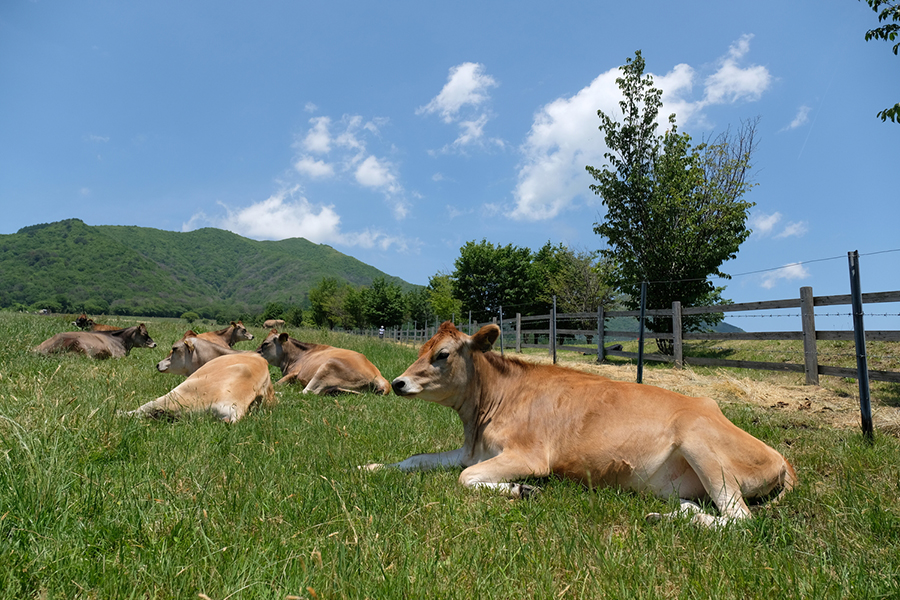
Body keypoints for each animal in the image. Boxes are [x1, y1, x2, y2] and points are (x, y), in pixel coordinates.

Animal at [256, 330, 390, 395]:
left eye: (265, 344)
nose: (254, 353)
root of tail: (380, 376)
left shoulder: (295, 373)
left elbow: (278, 383)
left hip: (327, 367)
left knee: (306, 392)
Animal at [363, 322, 797, 528]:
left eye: (442, 354)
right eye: (422, 347)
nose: (398, 382)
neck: (481, 414)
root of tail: (782, 458)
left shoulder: (530, 456)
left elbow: (465, 478)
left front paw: (523, 490)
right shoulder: (474, 450)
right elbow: (417, 459)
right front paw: (372, 466)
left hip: (702, 445)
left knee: (740, 521)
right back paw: (671, 514)